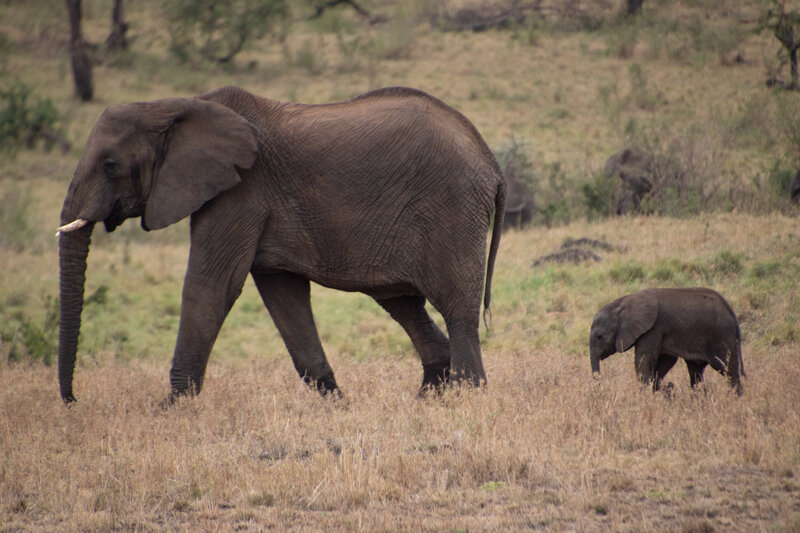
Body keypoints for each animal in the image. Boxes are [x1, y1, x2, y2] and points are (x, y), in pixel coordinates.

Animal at [56, 85, 506, 404]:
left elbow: (212, 285)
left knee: (457, 309)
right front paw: (337, 405)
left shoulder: (239, 190)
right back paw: (428, 398)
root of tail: (490, 158)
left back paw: (466, 398)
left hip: (452, 209)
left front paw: (171, 409)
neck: (175, 106)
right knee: (404, 303)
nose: (74, 400)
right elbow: (282, 294)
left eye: (110, 165)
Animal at [588, 286, 744, 394]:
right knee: (696, 371)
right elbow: (664, 362)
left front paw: (644, 396)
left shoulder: (653, 329)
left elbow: (644, 360)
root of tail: (730, 310)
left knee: (728, 369)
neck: (623, 303)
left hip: (722, 336)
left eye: (600, 336)